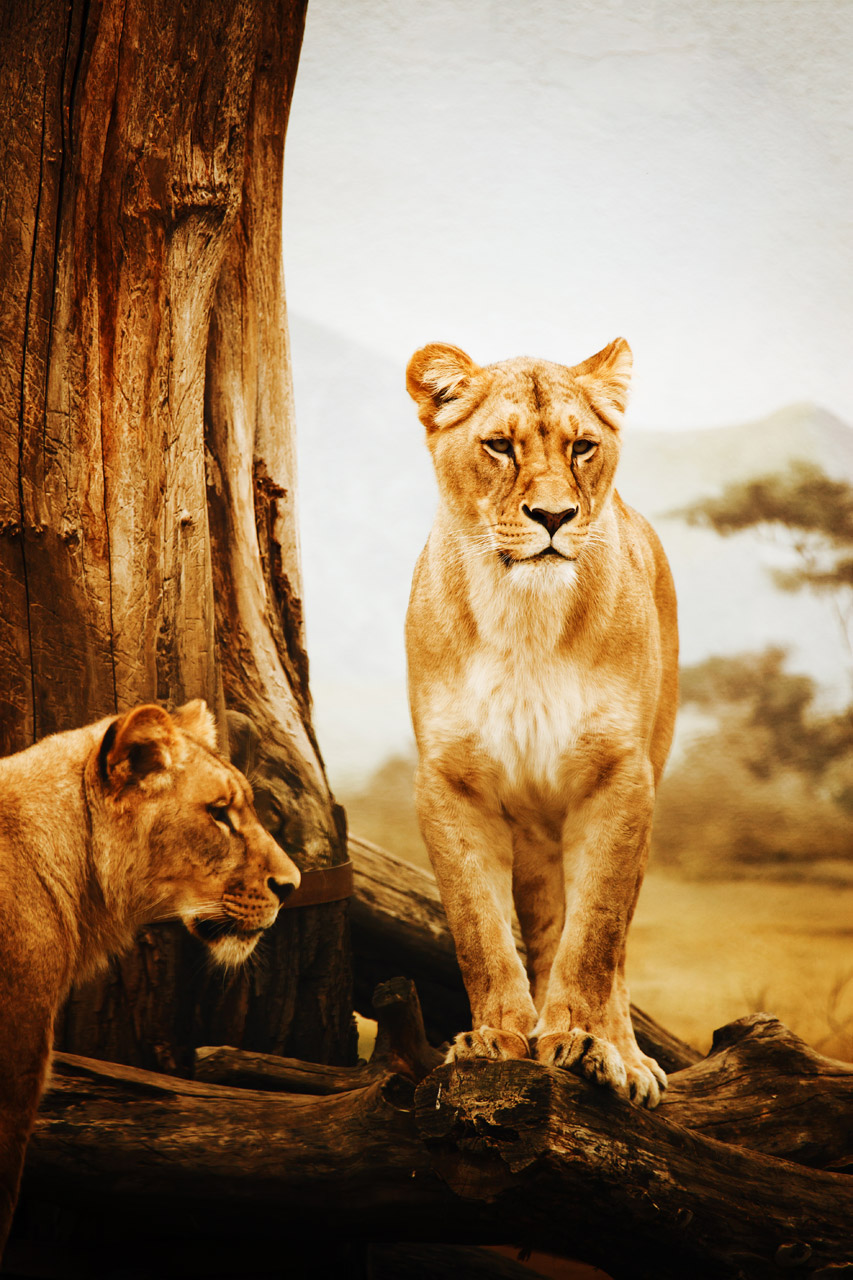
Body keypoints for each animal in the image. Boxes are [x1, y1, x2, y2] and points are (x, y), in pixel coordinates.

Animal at [404, 340, 676, 1111]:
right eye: (499, 446)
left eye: (582, 446)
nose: (553, 515)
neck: (523, 615)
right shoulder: (449, 783)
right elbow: (479, 928)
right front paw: (495, 1038)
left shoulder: (619, 779)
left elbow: (594, 938)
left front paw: (582, 1042)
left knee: (612, 943)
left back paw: (625, 1056)